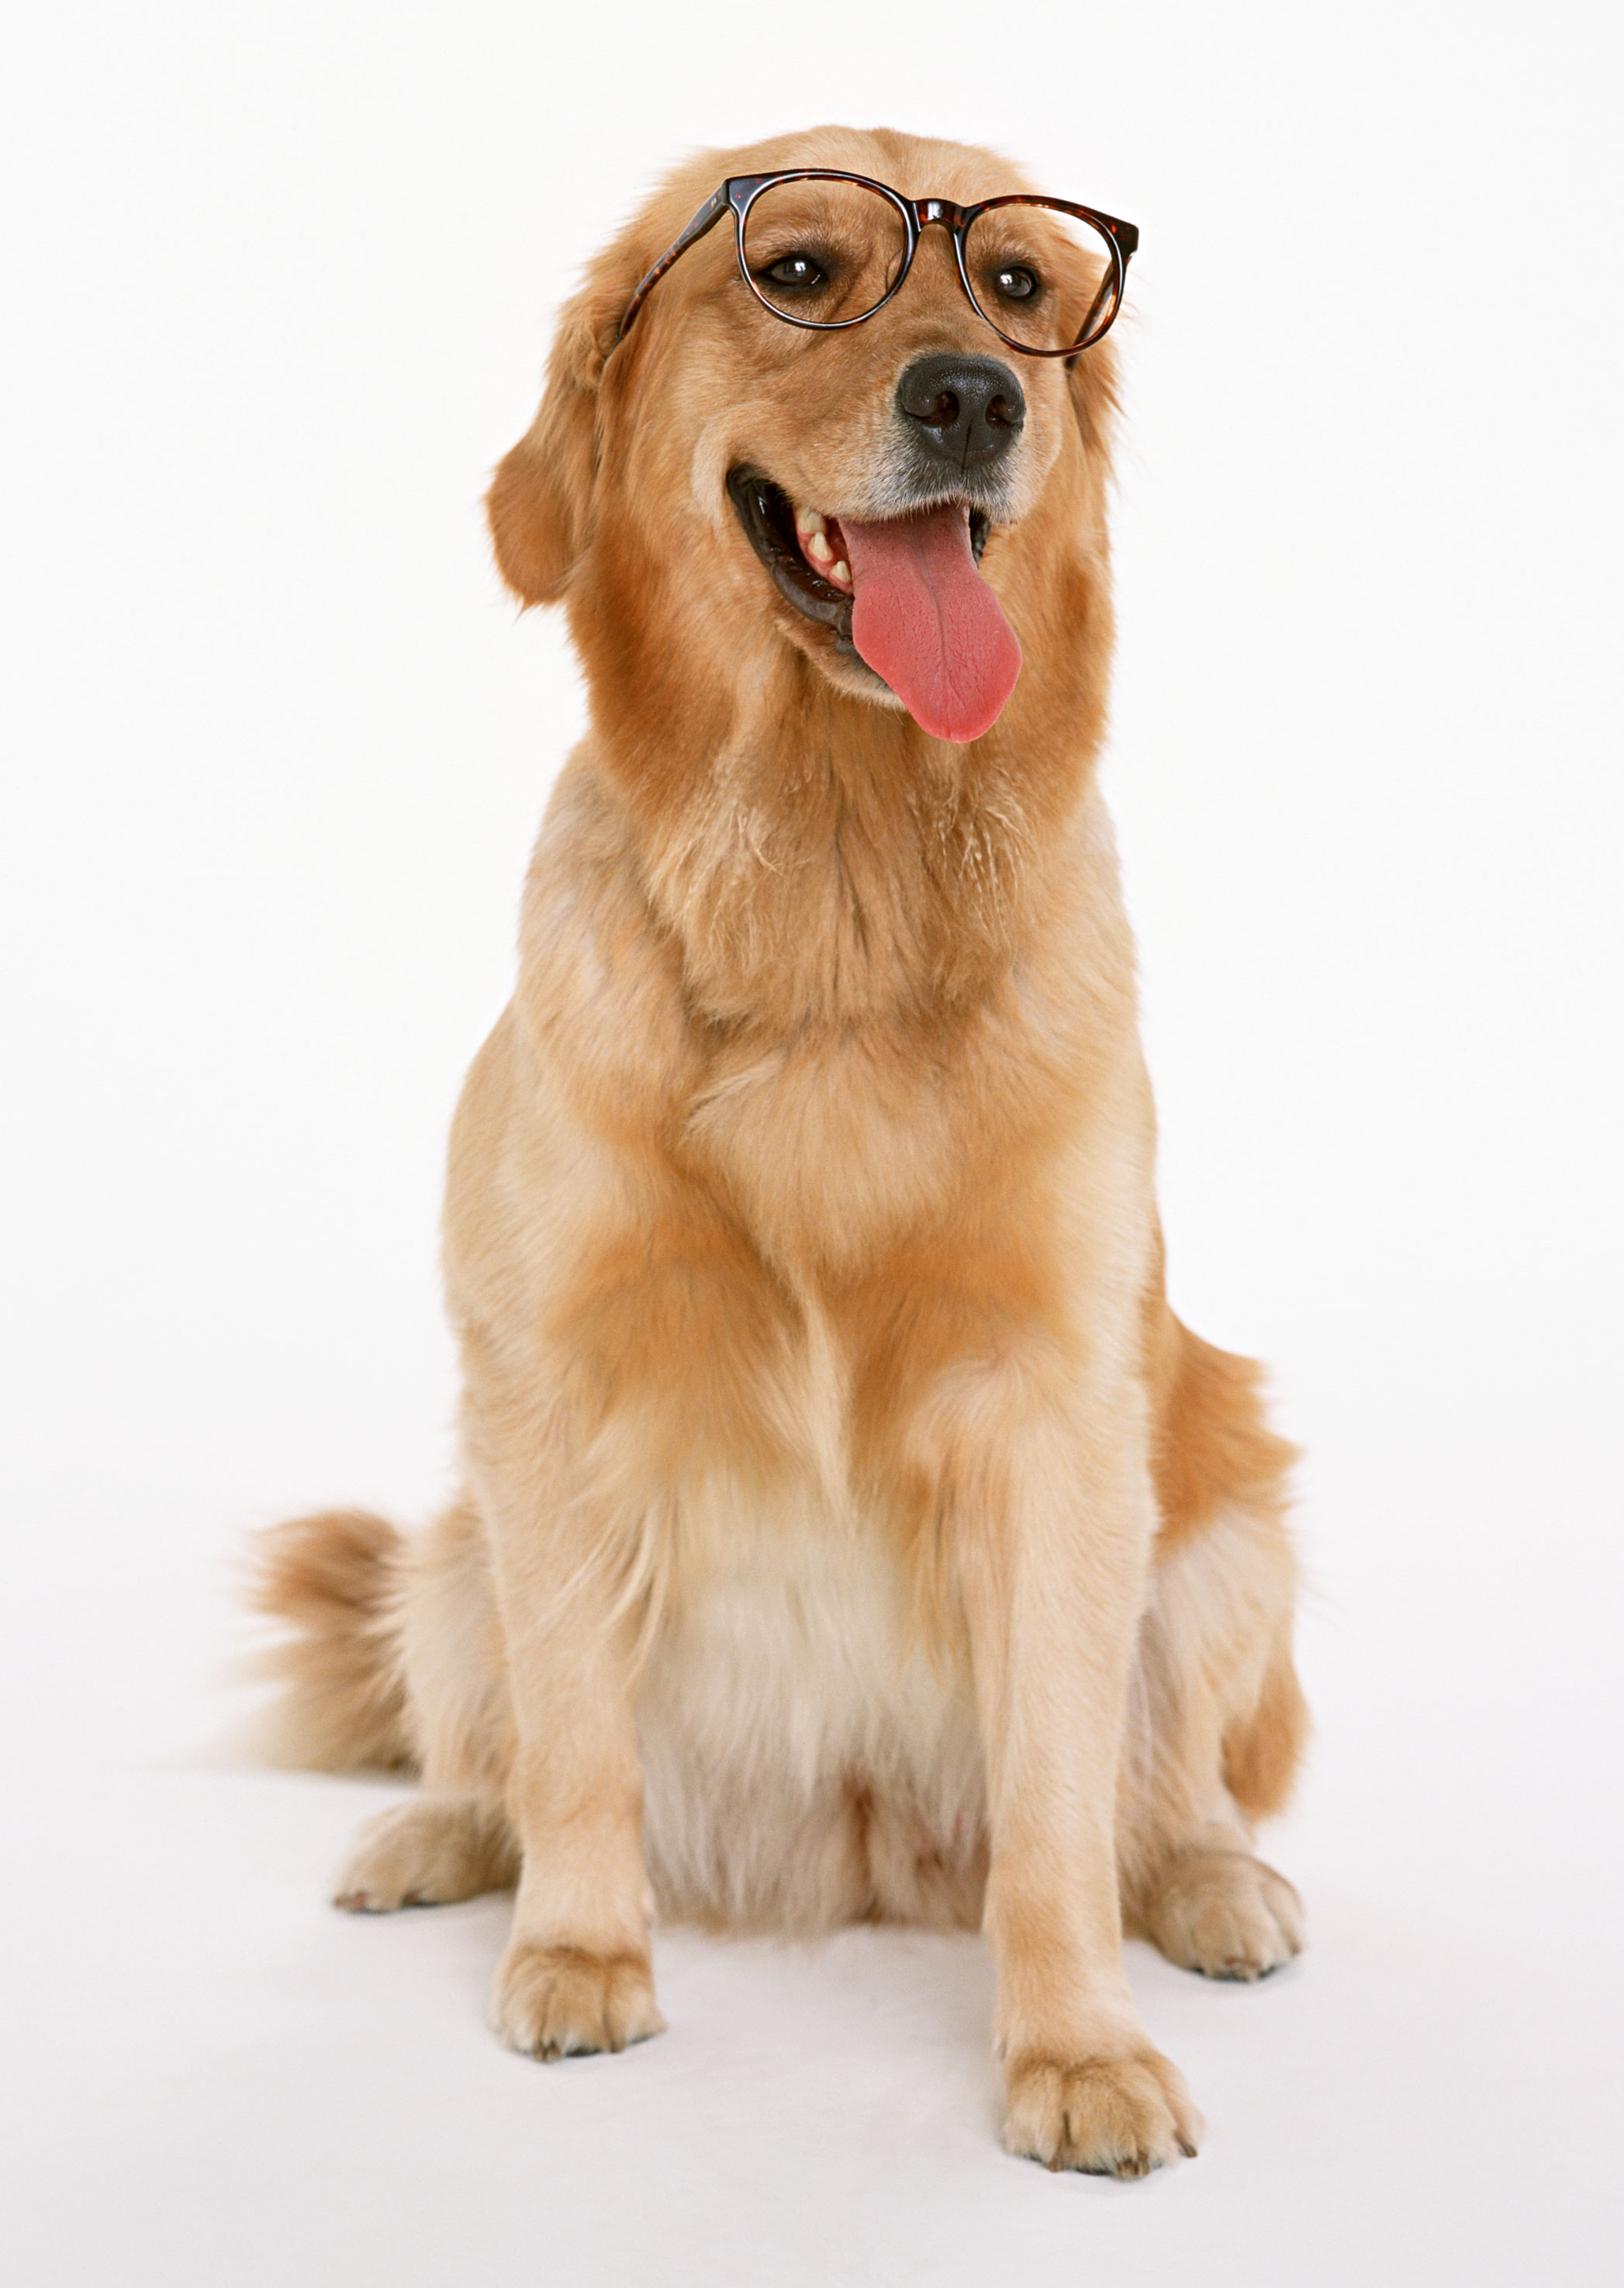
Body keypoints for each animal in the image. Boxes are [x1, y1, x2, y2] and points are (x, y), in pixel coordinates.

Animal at [251, 125, 1308, 2178]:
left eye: (1021, 289)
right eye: (802, 272)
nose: (973, 398)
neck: (832, 887)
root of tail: (843, 1852)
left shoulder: (1059, 1406)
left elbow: (1061, 1805)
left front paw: (1078, 2048)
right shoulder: (548, 1385)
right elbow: (576, 1741)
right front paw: (582, 1952)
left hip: (1231, 1520)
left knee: (1170, 1786)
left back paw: (1217, 1887)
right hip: (454, 1548)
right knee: (491, 1741)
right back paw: (437, 1839)